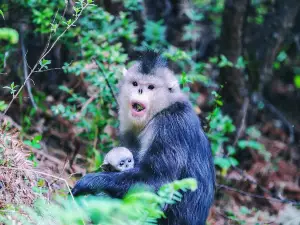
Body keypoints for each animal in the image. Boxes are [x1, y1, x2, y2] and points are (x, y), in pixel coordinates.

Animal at [71, 51, 214, 225]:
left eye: (150, 87)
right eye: (135, 83)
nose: (139, 90)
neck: (160, 110)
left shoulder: (171, 126)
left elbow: (155, 181)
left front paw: (90, 182)